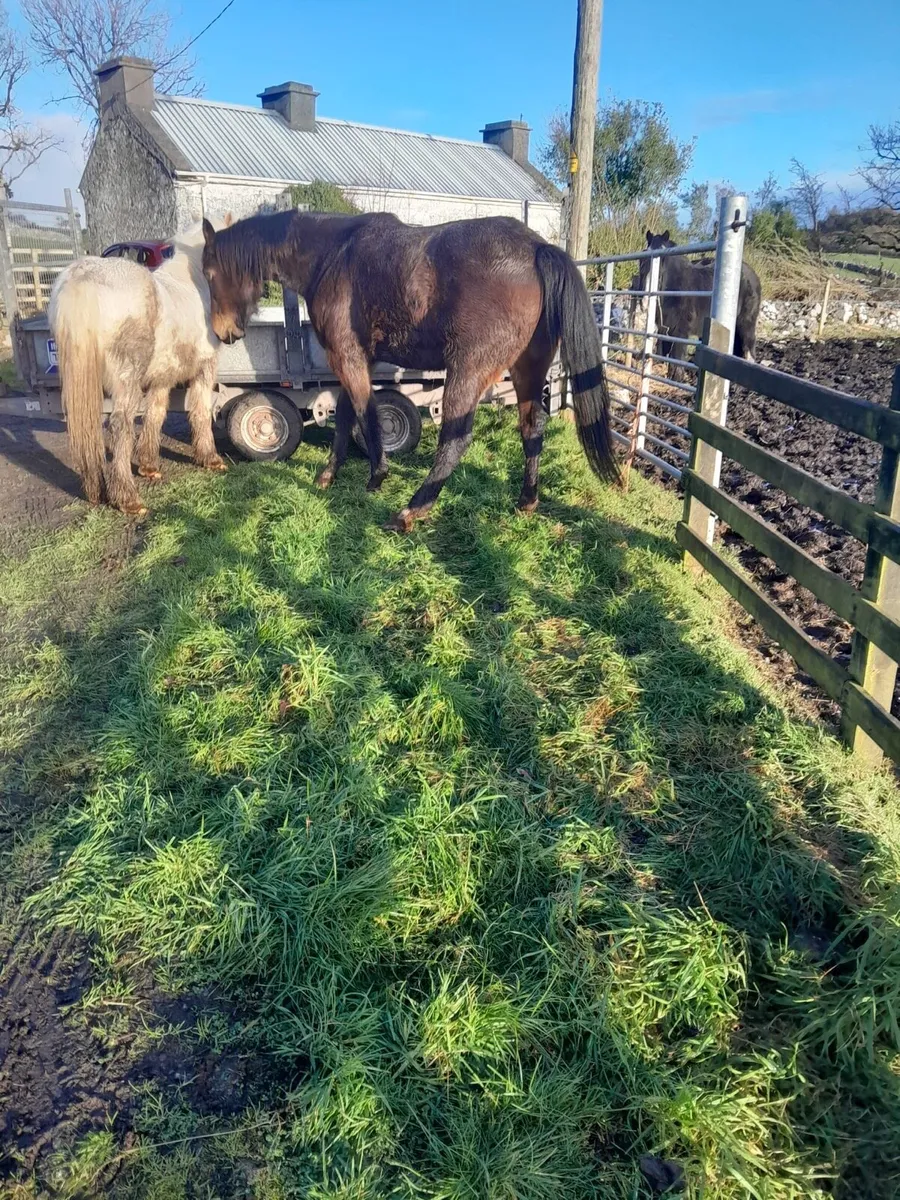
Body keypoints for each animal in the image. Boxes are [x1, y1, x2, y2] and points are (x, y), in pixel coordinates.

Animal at [50, 220, 229, 514]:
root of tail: (84, 276)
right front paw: (210, 459)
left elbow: (155, 413)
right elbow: (200, 410)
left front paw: (148, 465)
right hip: (127, 380)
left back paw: (97, 490)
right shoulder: (205, 369)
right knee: (120, 425)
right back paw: (128, 498)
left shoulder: (162, 378)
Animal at [200, 210, 619, 532]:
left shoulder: (347, 356)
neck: (331, 256)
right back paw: (527, 500)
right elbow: (345, 415)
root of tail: (536, 248)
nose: (224, 332)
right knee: (532, 427)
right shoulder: (356, 359)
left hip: (467, 371)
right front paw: (330, 475)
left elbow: (365, 414)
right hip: (527, 368)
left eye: (209, 273)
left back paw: (410, 511)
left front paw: (376, 475)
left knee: (456, 438)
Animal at [638, 231, 761, 372]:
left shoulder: (681, 332)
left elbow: (677, 363)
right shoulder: (664, 329)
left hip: (746, 324)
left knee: (749, 350)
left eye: (662, 261)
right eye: (642, 258)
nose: (645, 303)